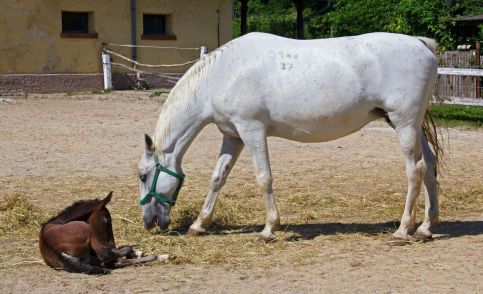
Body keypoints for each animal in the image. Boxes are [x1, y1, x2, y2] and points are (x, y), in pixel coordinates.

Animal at [137, 32, 442, 242]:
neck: (222, 74)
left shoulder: (252, 130)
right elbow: (217, 178)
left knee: (415, 170)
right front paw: (199, 225)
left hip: (404, 124)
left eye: (143, 175)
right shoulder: (233, 136)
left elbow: (264, 178)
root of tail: (421, 44)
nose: (149, 222)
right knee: (430, 165)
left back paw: (403, 230)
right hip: (410, 126)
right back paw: (426, 227)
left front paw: (269, 229)